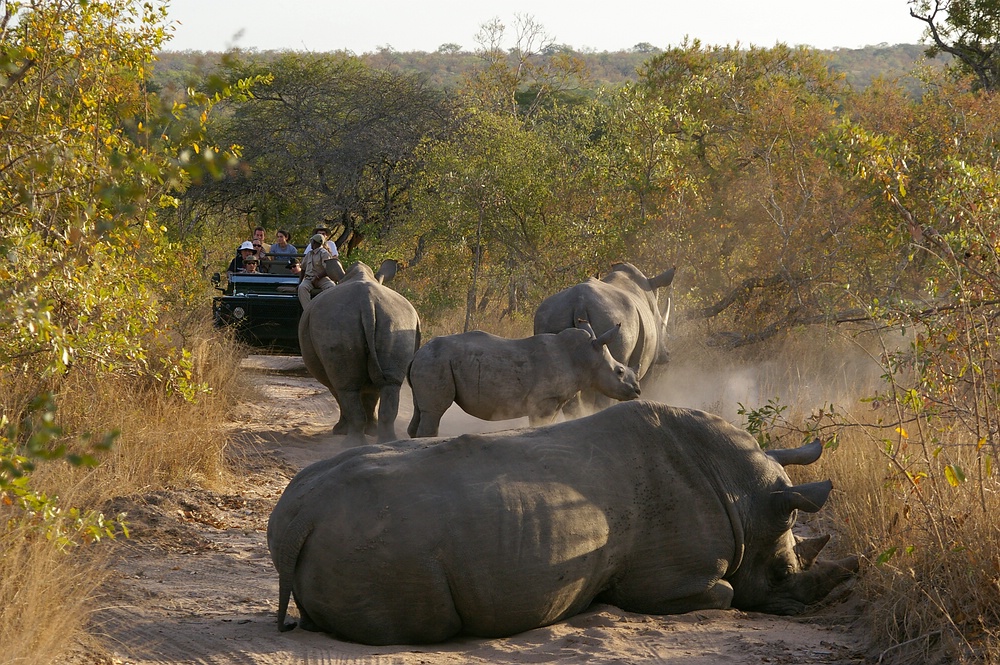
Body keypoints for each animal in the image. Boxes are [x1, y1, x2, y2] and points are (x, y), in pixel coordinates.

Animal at [268, 400, 860, 644]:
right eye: (783, 574)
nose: (809, 610)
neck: (747, 499)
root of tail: (297, 517)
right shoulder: (670, 580)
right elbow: (727, 593)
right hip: (379, 540)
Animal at [406, 322, 640, 436]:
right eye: (619, 371)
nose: (637, 391)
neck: (585, 357)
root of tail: (417, 354)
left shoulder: (553, 402)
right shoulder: (544, 400)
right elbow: (538, 424)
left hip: (430, 361)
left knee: (421, 410)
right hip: (436, 361)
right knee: (434, 412)